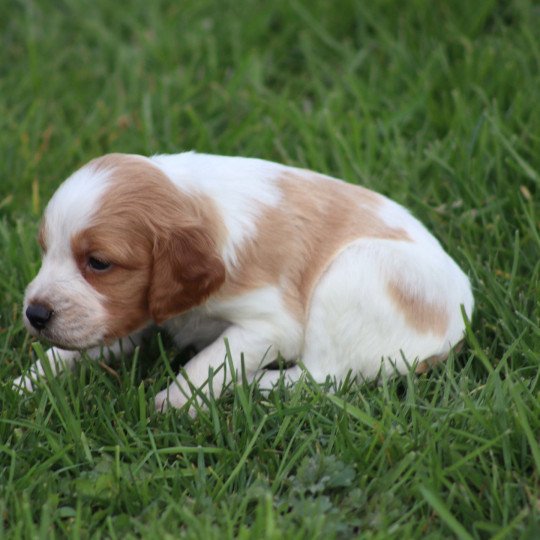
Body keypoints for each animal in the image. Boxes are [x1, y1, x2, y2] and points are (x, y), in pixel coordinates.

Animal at [14, 154, 474, 412]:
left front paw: (176, 401)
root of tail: (459, 324)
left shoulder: (271, 324)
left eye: (98, 262)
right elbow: (69, 351)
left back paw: (253, 386)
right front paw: (25, 384)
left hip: (354, 273)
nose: (34, 314)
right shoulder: (128, 315)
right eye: (45, 249)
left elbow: (212, 359)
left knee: (322, 377)